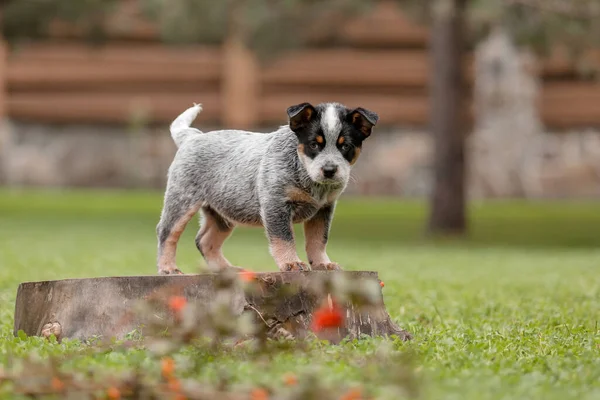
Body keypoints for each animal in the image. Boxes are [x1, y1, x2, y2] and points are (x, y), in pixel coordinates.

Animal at [157, 101, 378, 274]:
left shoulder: (323, 209)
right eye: (314, 145)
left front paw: (323, 264)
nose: (330, 170)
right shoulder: (276, 204)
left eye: (345, 146)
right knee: (167, 232)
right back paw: (168, 268)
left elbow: (318, 240)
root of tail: (191, 137)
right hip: (182, 199)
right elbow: (284, 238)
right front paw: (292, 263)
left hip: (224, 212)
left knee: (204, 240)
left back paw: (227, 270)